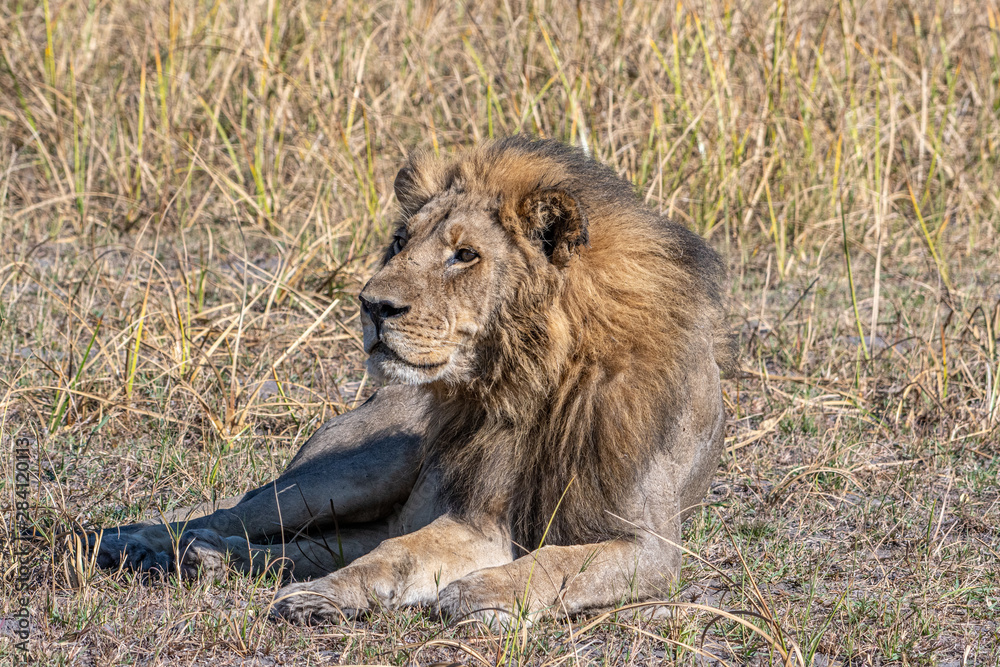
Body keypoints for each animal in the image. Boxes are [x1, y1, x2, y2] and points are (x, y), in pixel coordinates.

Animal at [90, 137, 736, 624]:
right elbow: (398, 555)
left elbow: (557, 561)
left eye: (464, 255)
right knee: (239, 514)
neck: (530, 380)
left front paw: (483, 593)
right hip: (347, 475)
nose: (372, 305)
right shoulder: (477, 519)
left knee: (321, 544)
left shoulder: (649, 545)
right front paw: (323, 598)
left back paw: (210, 560)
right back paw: (139, 543)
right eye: (401, 242)